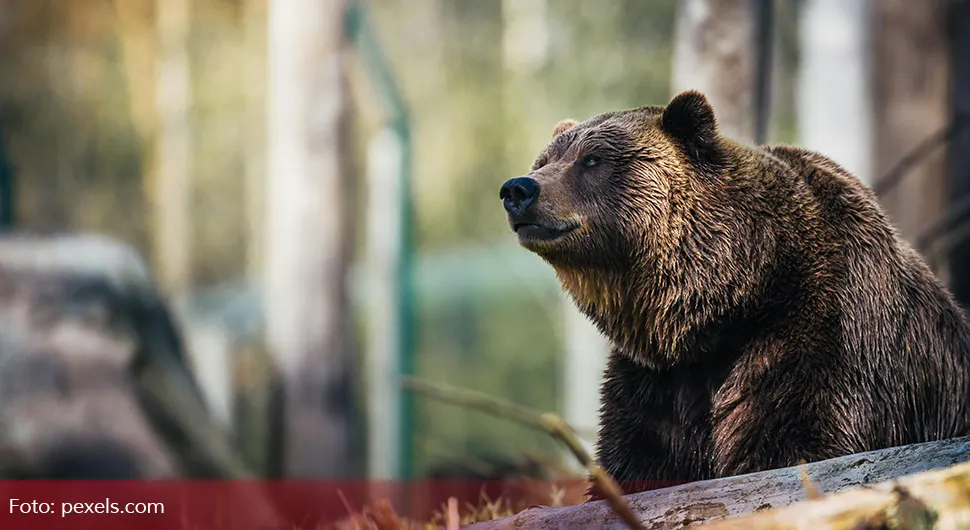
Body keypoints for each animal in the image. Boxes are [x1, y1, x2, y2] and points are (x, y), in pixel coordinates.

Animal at [502, 88, 968, 492]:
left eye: (592, 159)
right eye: (545, 159)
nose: (519, 189)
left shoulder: (820, 337)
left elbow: (794, 442)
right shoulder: (657, 383)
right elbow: (637, 461)